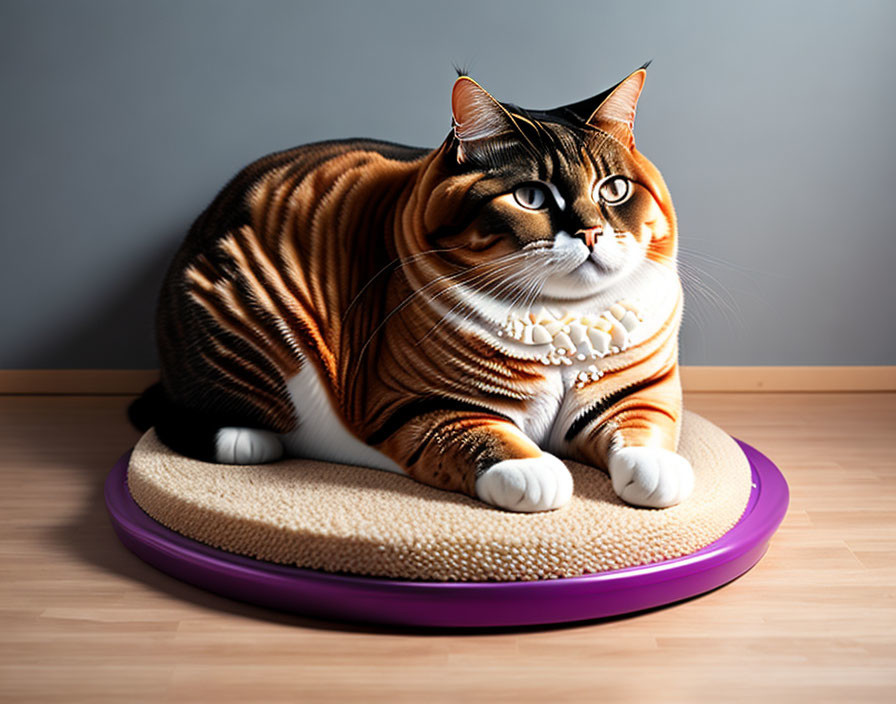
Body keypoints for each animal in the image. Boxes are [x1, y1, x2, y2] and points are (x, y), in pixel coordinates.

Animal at [131, 67, 692, 512]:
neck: (563, 324)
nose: (592, 232)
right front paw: (536, 471)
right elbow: (488, 437)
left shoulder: (638, 389)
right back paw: (248, 440)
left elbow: (644, 427)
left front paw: (658, 472)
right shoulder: (417, 404)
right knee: (185, 411)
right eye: (531, 196)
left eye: (613, 189)